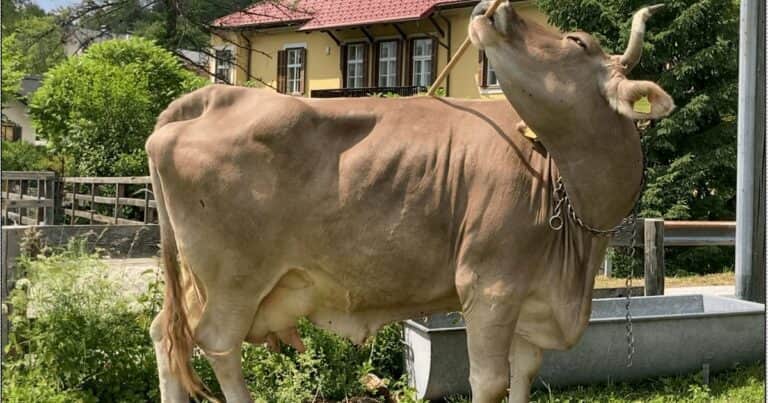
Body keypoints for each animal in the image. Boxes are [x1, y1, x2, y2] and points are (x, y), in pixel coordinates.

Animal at [146, 2, 674, 402]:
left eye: (576, 43)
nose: (497, 8)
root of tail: (212, 98)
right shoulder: (490, 287)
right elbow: (489, 381)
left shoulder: (534, 305)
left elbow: (523, 376)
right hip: (234, 281)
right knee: (217, 346)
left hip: (199, 282)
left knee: (168, 338)